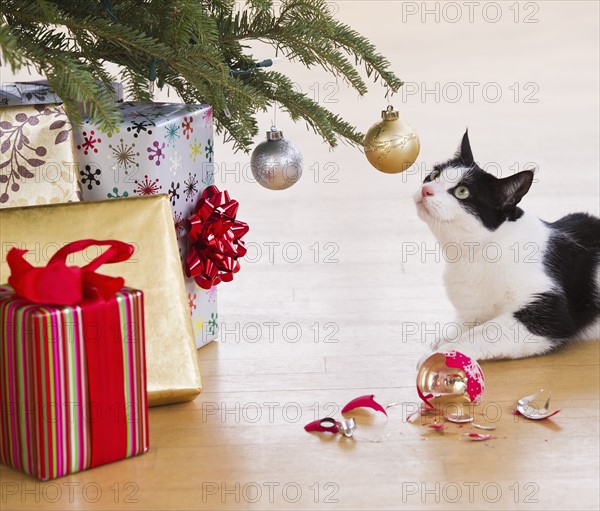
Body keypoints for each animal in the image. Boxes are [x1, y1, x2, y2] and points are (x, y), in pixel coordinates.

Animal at [414, 132, 596, 364]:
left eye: (462, 192)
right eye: (434, 174)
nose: (425, 190)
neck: (474, 253)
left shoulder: (550, 311)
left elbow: (486, 330)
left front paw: (441, 354)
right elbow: (469, 323)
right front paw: (445, 337)